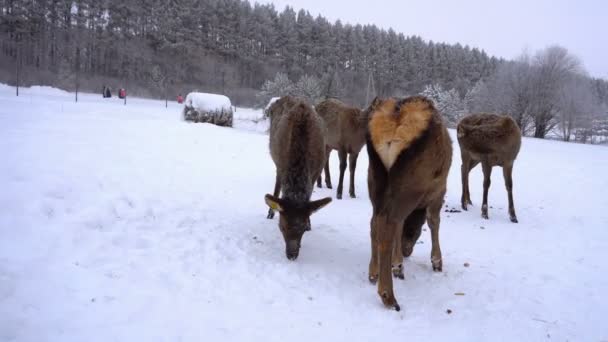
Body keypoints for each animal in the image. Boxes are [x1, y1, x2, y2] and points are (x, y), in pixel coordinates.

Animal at [264, 95, 332, 260]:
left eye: (301, 229)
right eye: (281, 226)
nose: (292, 255)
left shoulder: (316, 171)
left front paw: (310, 224)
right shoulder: (281, 165)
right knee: (277, 185)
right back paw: (270, 212)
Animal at [366, 95, 452, 310]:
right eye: (415, 232)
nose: (407, 251)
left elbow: (400, 225)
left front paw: (397, 265)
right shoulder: (439, 190)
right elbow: (434, 221)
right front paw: (436, 261)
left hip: (375, 177)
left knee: (375, 222)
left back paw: (373, 272)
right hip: (411, 184)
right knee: (387, 223)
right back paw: (388, 295)